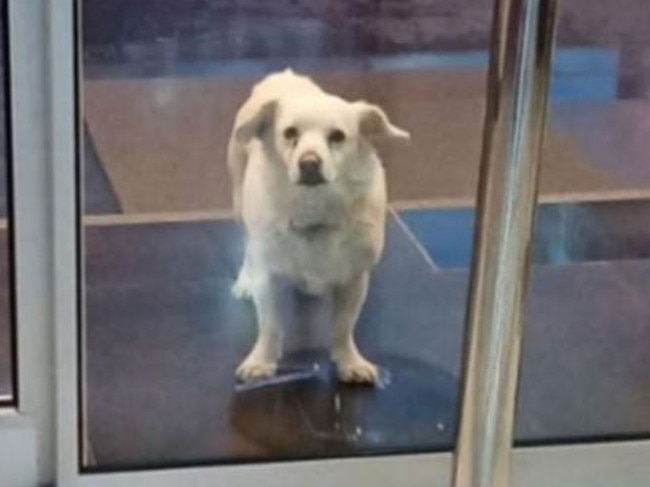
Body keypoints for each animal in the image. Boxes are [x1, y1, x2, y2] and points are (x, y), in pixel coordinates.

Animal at [228, 70, 408, 386]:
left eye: (337, 136)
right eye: (290, 134)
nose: (309, 162)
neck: (314, 208)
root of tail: (283, 76)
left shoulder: (354, 280)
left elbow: (343, 327)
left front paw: (349, 362)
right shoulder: (269, 278)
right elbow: (270, 325)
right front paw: (261, 361)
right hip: (240, 201)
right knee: (248, 246)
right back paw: (244, 280)